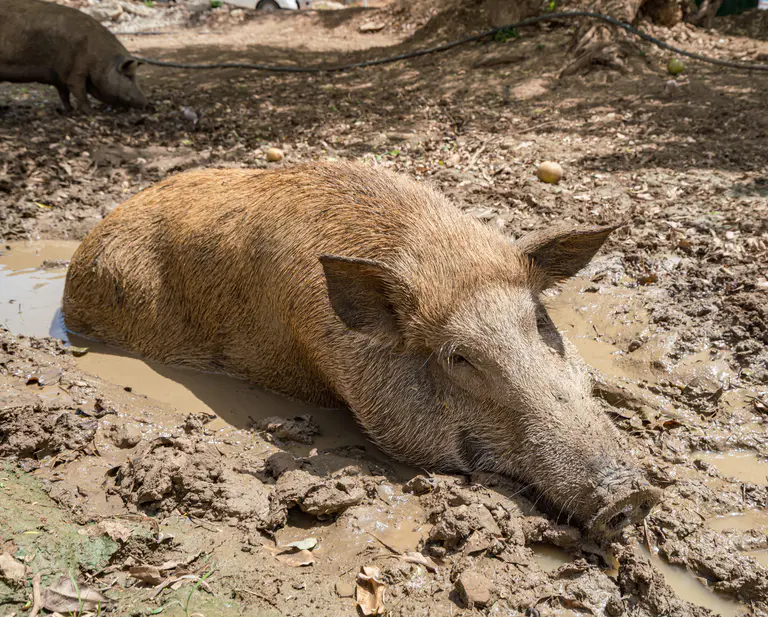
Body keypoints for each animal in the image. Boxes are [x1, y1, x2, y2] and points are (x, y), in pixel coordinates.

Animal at [0, 0, 148, 112]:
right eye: (129, 76)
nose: (146, 103)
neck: (99, 58)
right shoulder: (75, 70)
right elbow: (79, 91)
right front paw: (90, 111)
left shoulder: (59, 76)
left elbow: (64, 94)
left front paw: (68, 111)